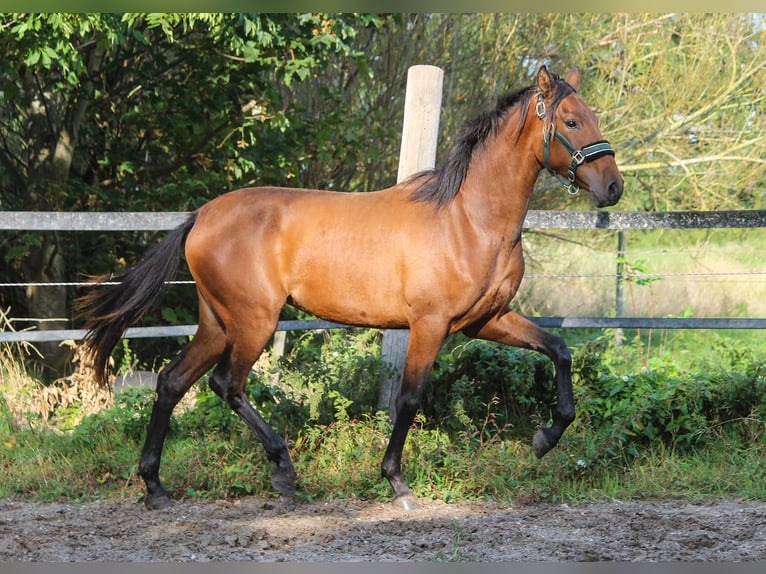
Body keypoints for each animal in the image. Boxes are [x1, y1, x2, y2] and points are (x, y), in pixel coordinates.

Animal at [76, 67, 624, 512]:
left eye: (592, 117)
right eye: (571, 121)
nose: (613, 188)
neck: (469, 219)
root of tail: (202, 217)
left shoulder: (486, 320)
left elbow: (559, 350)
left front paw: (545, 438)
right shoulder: (430, 324)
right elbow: (409, 399)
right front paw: (398, 484)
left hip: (217, 323)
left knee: (171, 382)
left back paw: (155, 488)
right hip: (254, 321)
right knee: (226, 384)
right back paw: (283, 471)